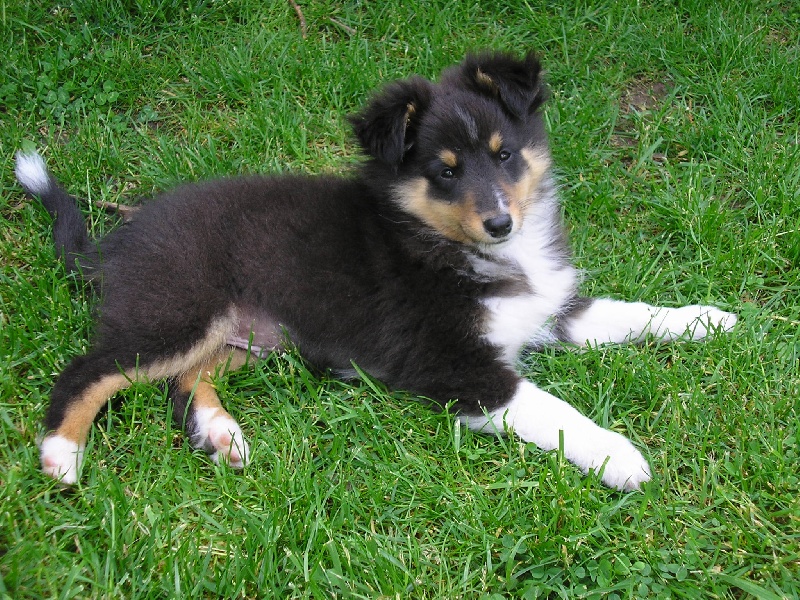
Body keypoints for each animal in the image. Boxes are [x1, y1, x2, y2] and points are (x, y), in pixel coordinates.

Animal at [14, 51, 736, 490]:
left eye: (504, 155)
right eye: (445, 171)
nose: (500, 224)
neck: (446, 241)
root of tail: (118, 242)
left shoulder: (550, 309)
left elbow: (625, 313)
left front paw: (706, 320)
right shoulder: (454, 365)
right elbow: (551, 408)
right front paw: (619, 456)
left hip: (254, 334)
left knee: (186, 379)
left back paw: (221, 434)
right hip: (178, 309)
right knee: (90, 371)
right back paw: (62, 455)